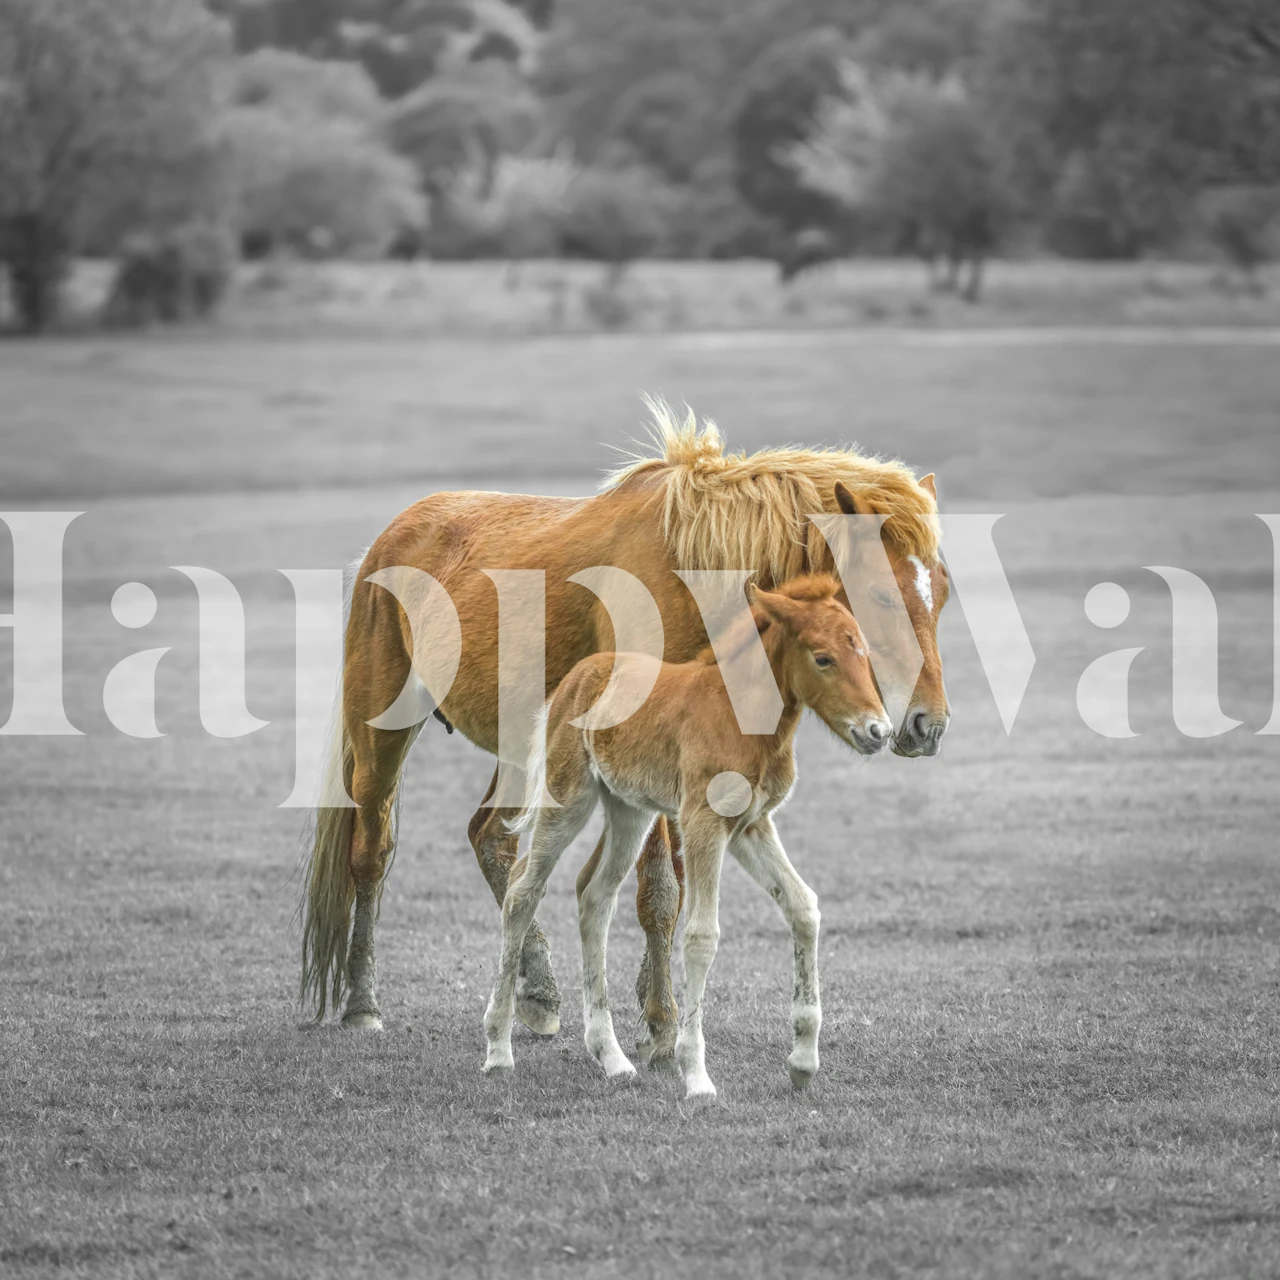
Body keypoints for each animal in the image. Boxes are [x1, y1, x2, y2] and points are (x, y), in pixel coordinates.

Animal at [482, 575, 893, 1097]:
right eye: (823, 658)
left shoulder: (750, 825)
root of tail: (575, 678)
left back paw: (611, 1056)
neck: (744, 718)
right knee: (523, 890)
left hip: (630, 810)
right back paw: (498, 1050)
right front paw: (696, 1076)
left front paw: (802, 1061)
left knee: (594, 894)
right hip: (567, 797)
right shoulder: (702, 822)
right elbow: (701, 934)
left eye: (863, 651)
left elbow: (803, 906)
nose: (879, 731)